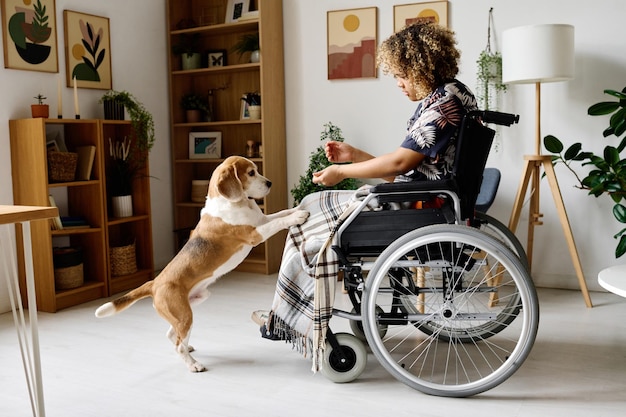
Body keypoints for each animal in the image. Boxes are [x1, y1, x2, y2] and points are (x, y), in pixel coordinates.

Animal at [95, 156, 308, 370]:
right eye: (250, 173)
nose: (269, 183)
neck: (232, 202)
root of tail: (154, 283)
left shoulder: (262, 219)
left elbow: (281, 213)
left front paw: (297, 208)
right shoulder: (255, 234)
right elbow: (278, 221)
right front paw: (297, 216)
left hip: (193, 304)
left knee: (172, 334)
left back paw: (188, 349)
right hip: (185, 314)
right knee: (178, 344)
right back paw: (194, 365)